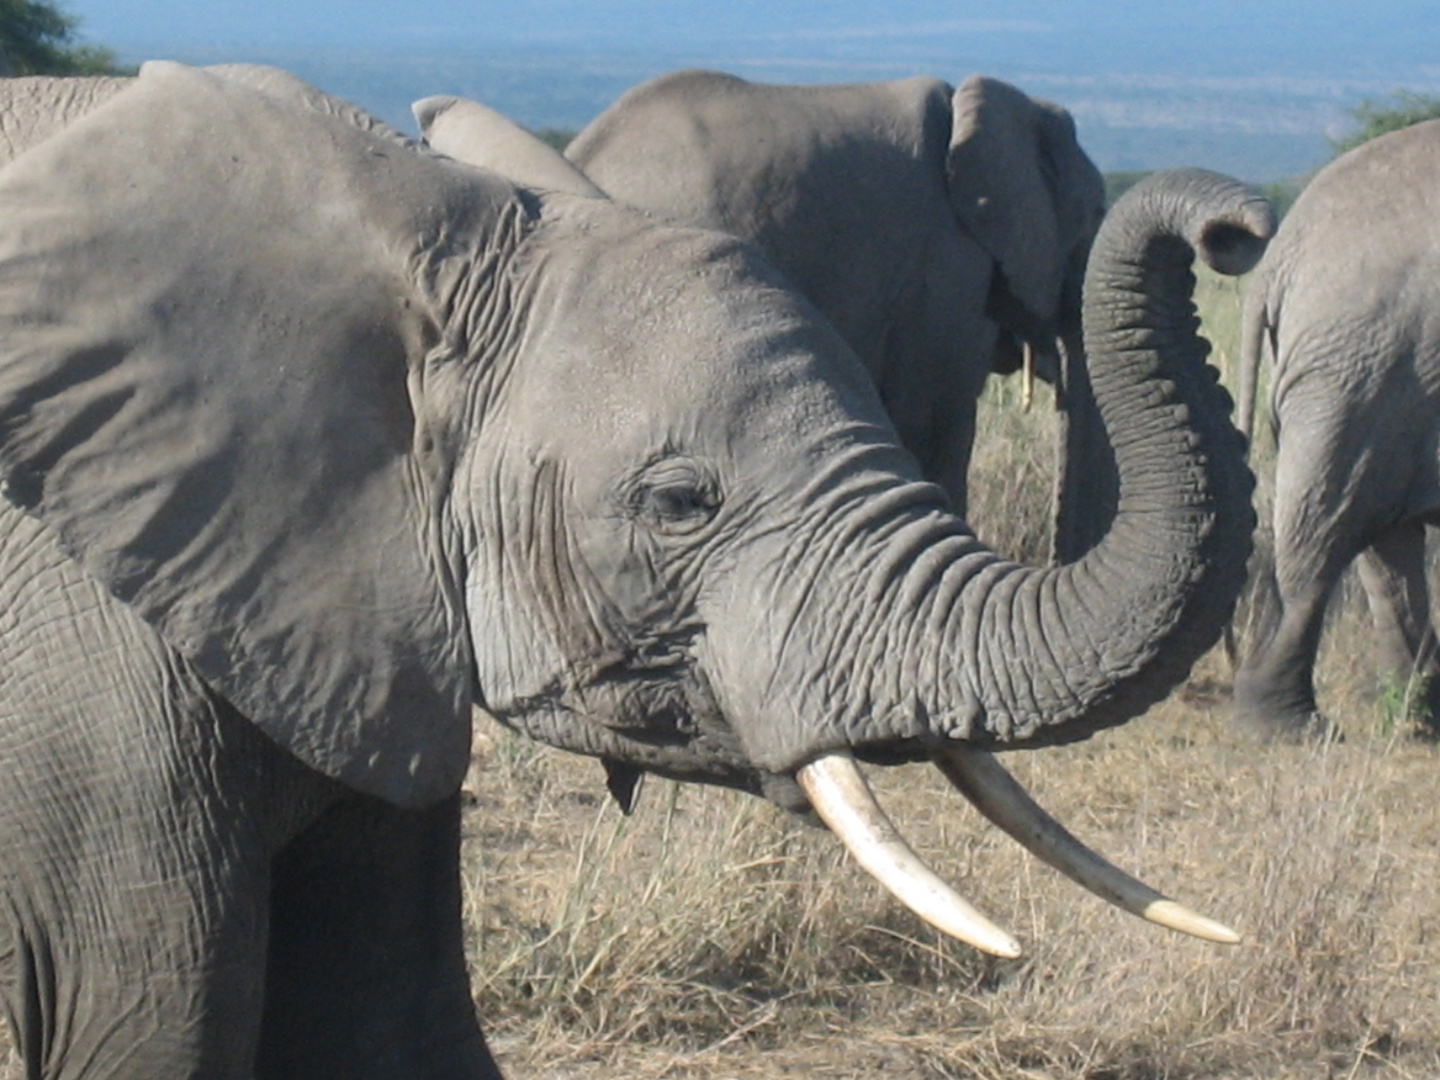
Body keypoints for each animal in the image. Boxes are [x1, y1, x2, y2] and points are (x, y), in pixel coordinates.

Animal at [1232, 120, 1440, 743]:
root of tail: (1282, 254)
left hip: (1372, 375)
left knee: (1381, 546)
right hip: (1358, 372)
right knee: (1326, 530)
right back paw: (1292, 728)